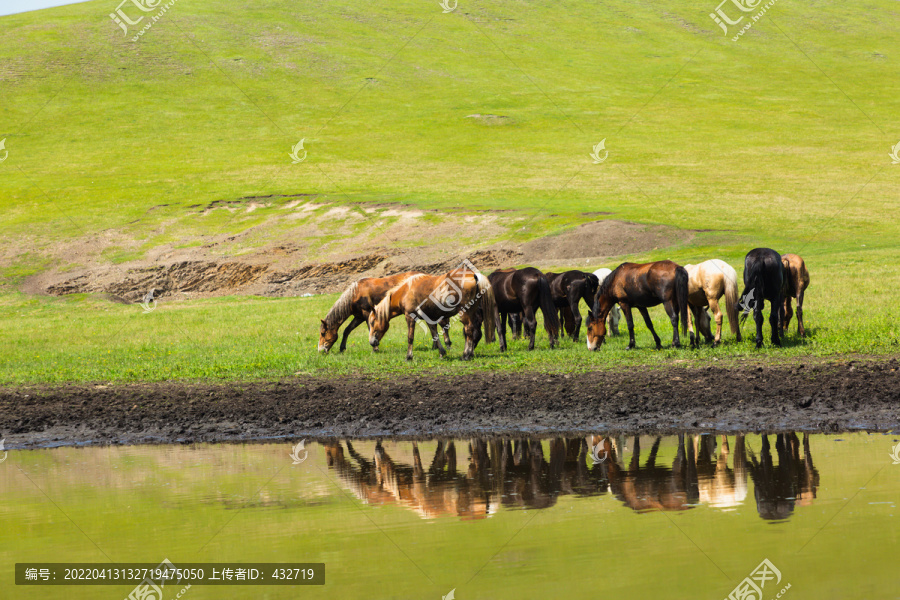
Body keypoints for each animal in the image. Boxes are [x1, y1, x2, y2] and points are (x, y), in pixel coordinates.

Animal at [320, 272, 454, 352]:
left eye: (322, 333)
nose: (320, 350)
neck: (355, 293)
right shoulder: (359, 316)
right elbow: (347, 330)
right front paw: (342, 348)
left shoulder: (367, 314)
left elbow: (370, 329)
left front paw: (375, 348)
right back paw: (436, 346)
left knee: (442, 324)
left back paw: (446, 345)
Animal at [368, 268, 500, 360]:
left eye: (373, 322)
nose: (371, 342)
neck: (405, 291)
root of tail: (473, 275)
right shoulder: (430, 319)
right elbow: (435, 335)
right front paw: (442, 353)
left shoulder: (409, 317)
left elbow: (410, 337)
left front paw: (409, 356)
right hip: (472, 311)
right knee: (474, 331)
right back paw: (470, 353)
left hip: (465, 313)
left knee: (468, 329)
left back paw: (465, 355)